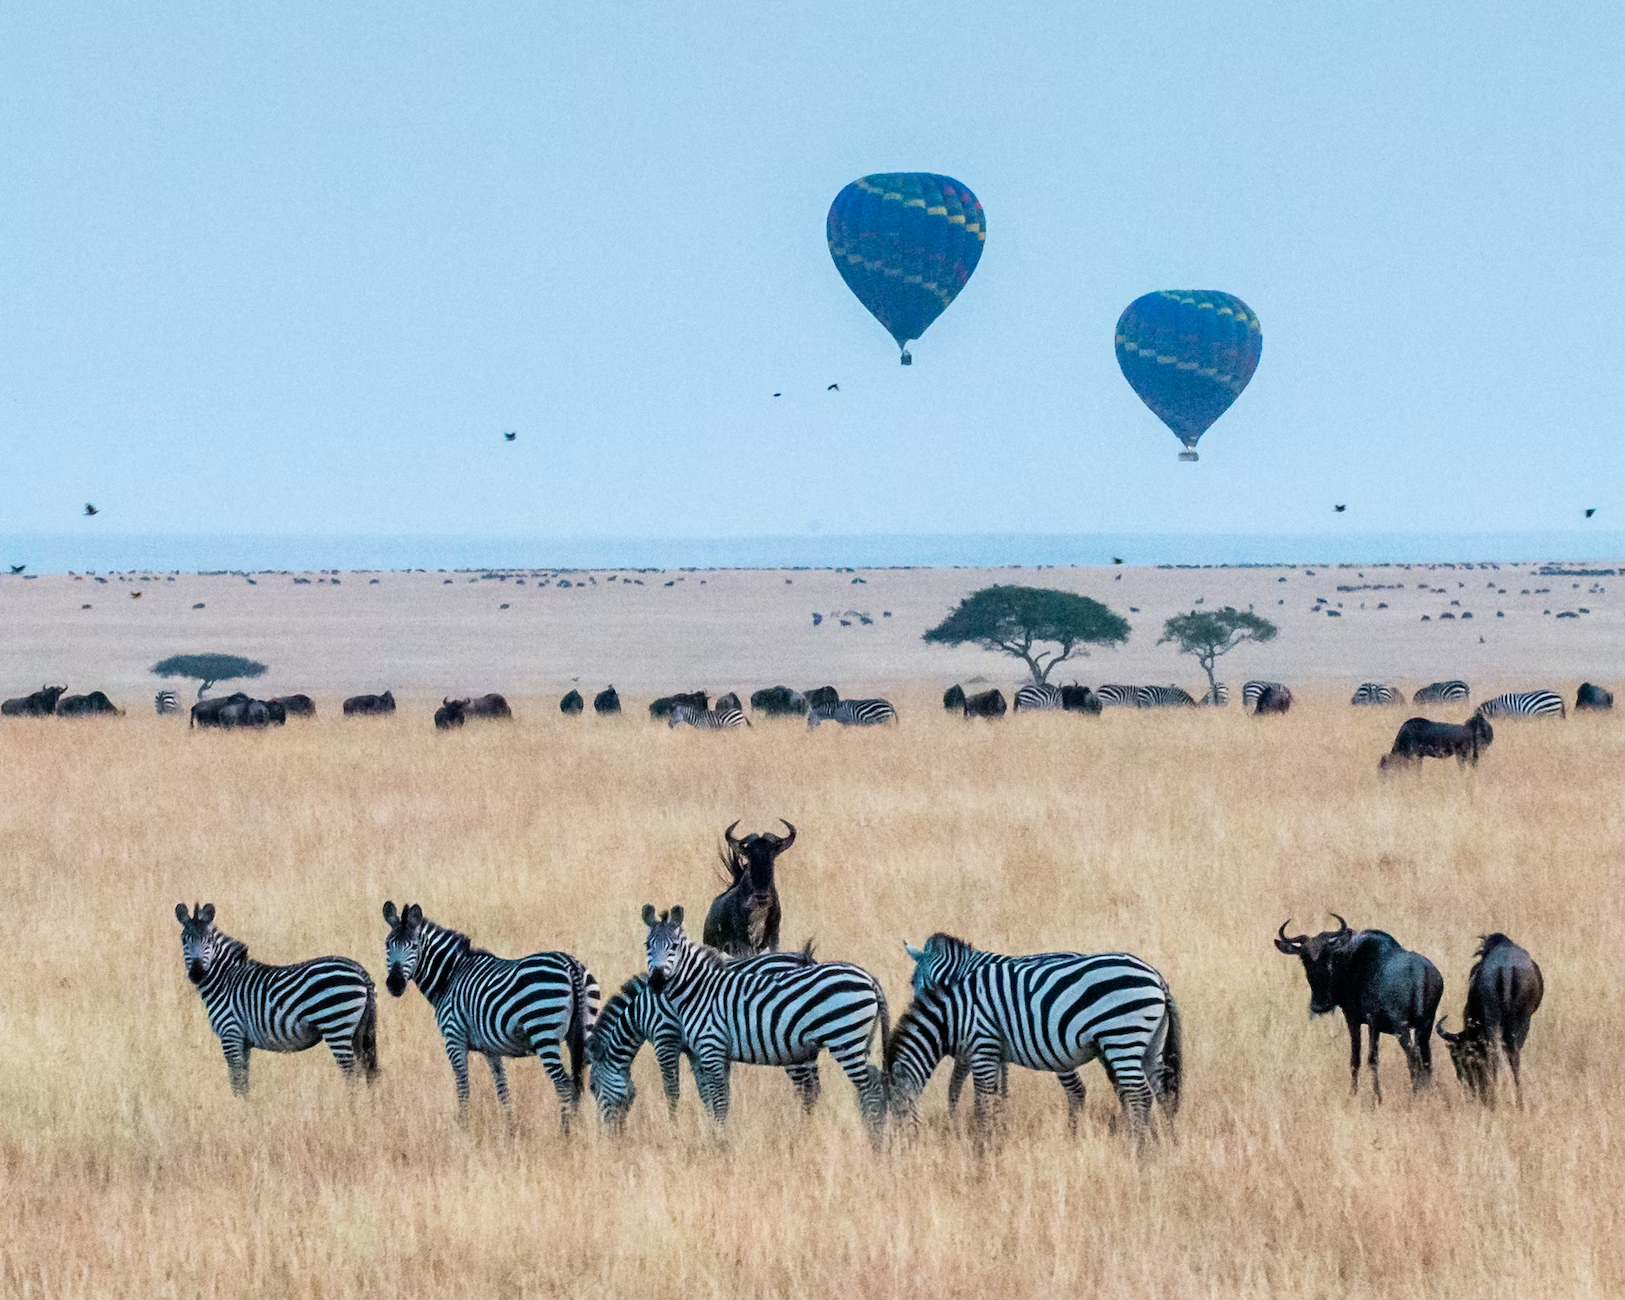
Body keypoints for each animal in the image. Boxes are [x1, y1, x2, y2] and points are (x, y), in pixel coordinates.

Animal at [174, 903, 377, 1098]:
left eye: (208, 940)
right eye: (184, 940)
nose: (197, 973)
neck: (225, 979)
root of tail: (358, 968)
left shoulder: (230, 1034)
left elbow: (236, 1080)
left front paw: (237, 1107)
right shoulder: (243, 1041)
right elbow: (244, 1080)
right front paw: (247, 1107)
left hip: (336, 1025)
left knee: (351, 1072)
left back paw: (350, 1107)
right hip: (359, 1029)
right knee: (367, 1070)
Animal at [383, 903, 601, 1124]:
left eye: (413, 946)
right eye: (387, 945)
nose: (394, 984)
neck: (451, 976)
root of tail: (570, 965)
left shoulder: (454, 1039)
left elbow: (463, 1088)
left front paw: (464, 1126)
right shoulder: (491, 1049)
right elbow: (502, 1089)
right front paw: (510, 1126)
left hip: (544, 1032)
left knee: (564, 1084)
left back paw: (565, 1130)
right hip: (584, 1031)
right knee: (583, 1082)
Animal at [585, 942, 819, 1124]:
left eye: (593, 1088)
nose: (608, 1135)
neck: (641, 1011)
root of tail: (803, 958)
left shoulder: (665, 1038)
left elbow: (671, 1090)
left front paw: (673, 1126)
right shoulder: (695, 1049)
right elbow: (706, 1091)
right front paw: (712, 1124)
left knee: (807, 1089)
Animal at [637, 910, 890, 1131]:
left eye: (674, 946)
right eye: (647, 945)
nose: (657, 981)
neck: (699, 989)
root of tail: (869, 978)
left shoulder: (701, 1045)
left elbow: (705, 1097)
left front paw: (716, 1138)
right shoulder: (705, 1052)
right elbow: (714, 1097)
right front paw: (714, 1131)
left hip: (844, 1039)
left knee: (869, 1090)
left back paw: (872, 1136)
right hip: (858, 1042)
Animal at [890, 929, 1183, 1131]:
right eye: (912, 983)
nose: (921, 1005)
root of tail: (1157, 977)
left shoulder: (979, 1037)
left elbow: (963, 1085)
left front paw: (969, 1122)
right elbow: (988, 1084)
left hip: (1111, 1039)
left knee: (1113, 1092)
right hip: (1140, 1044)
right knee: (1153, 1091)